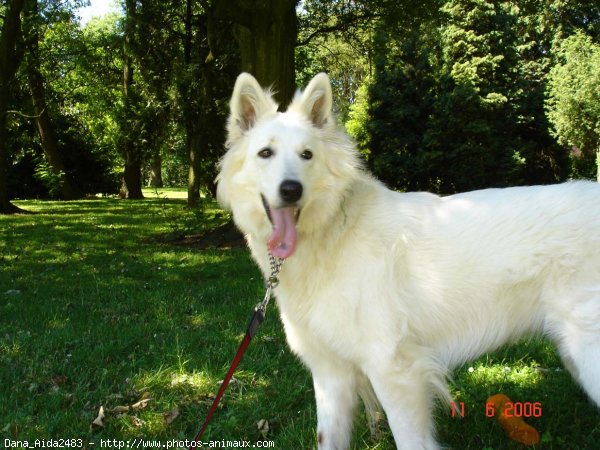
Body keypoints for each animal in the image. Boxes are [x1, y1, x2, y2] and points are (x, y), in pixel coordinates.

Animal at [217, 72, 600, 448]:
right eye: (265, 153)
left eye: (306, 155)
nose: (291, 190)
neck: (334, 231)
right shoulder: (331, 376)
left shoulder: (394, 370)